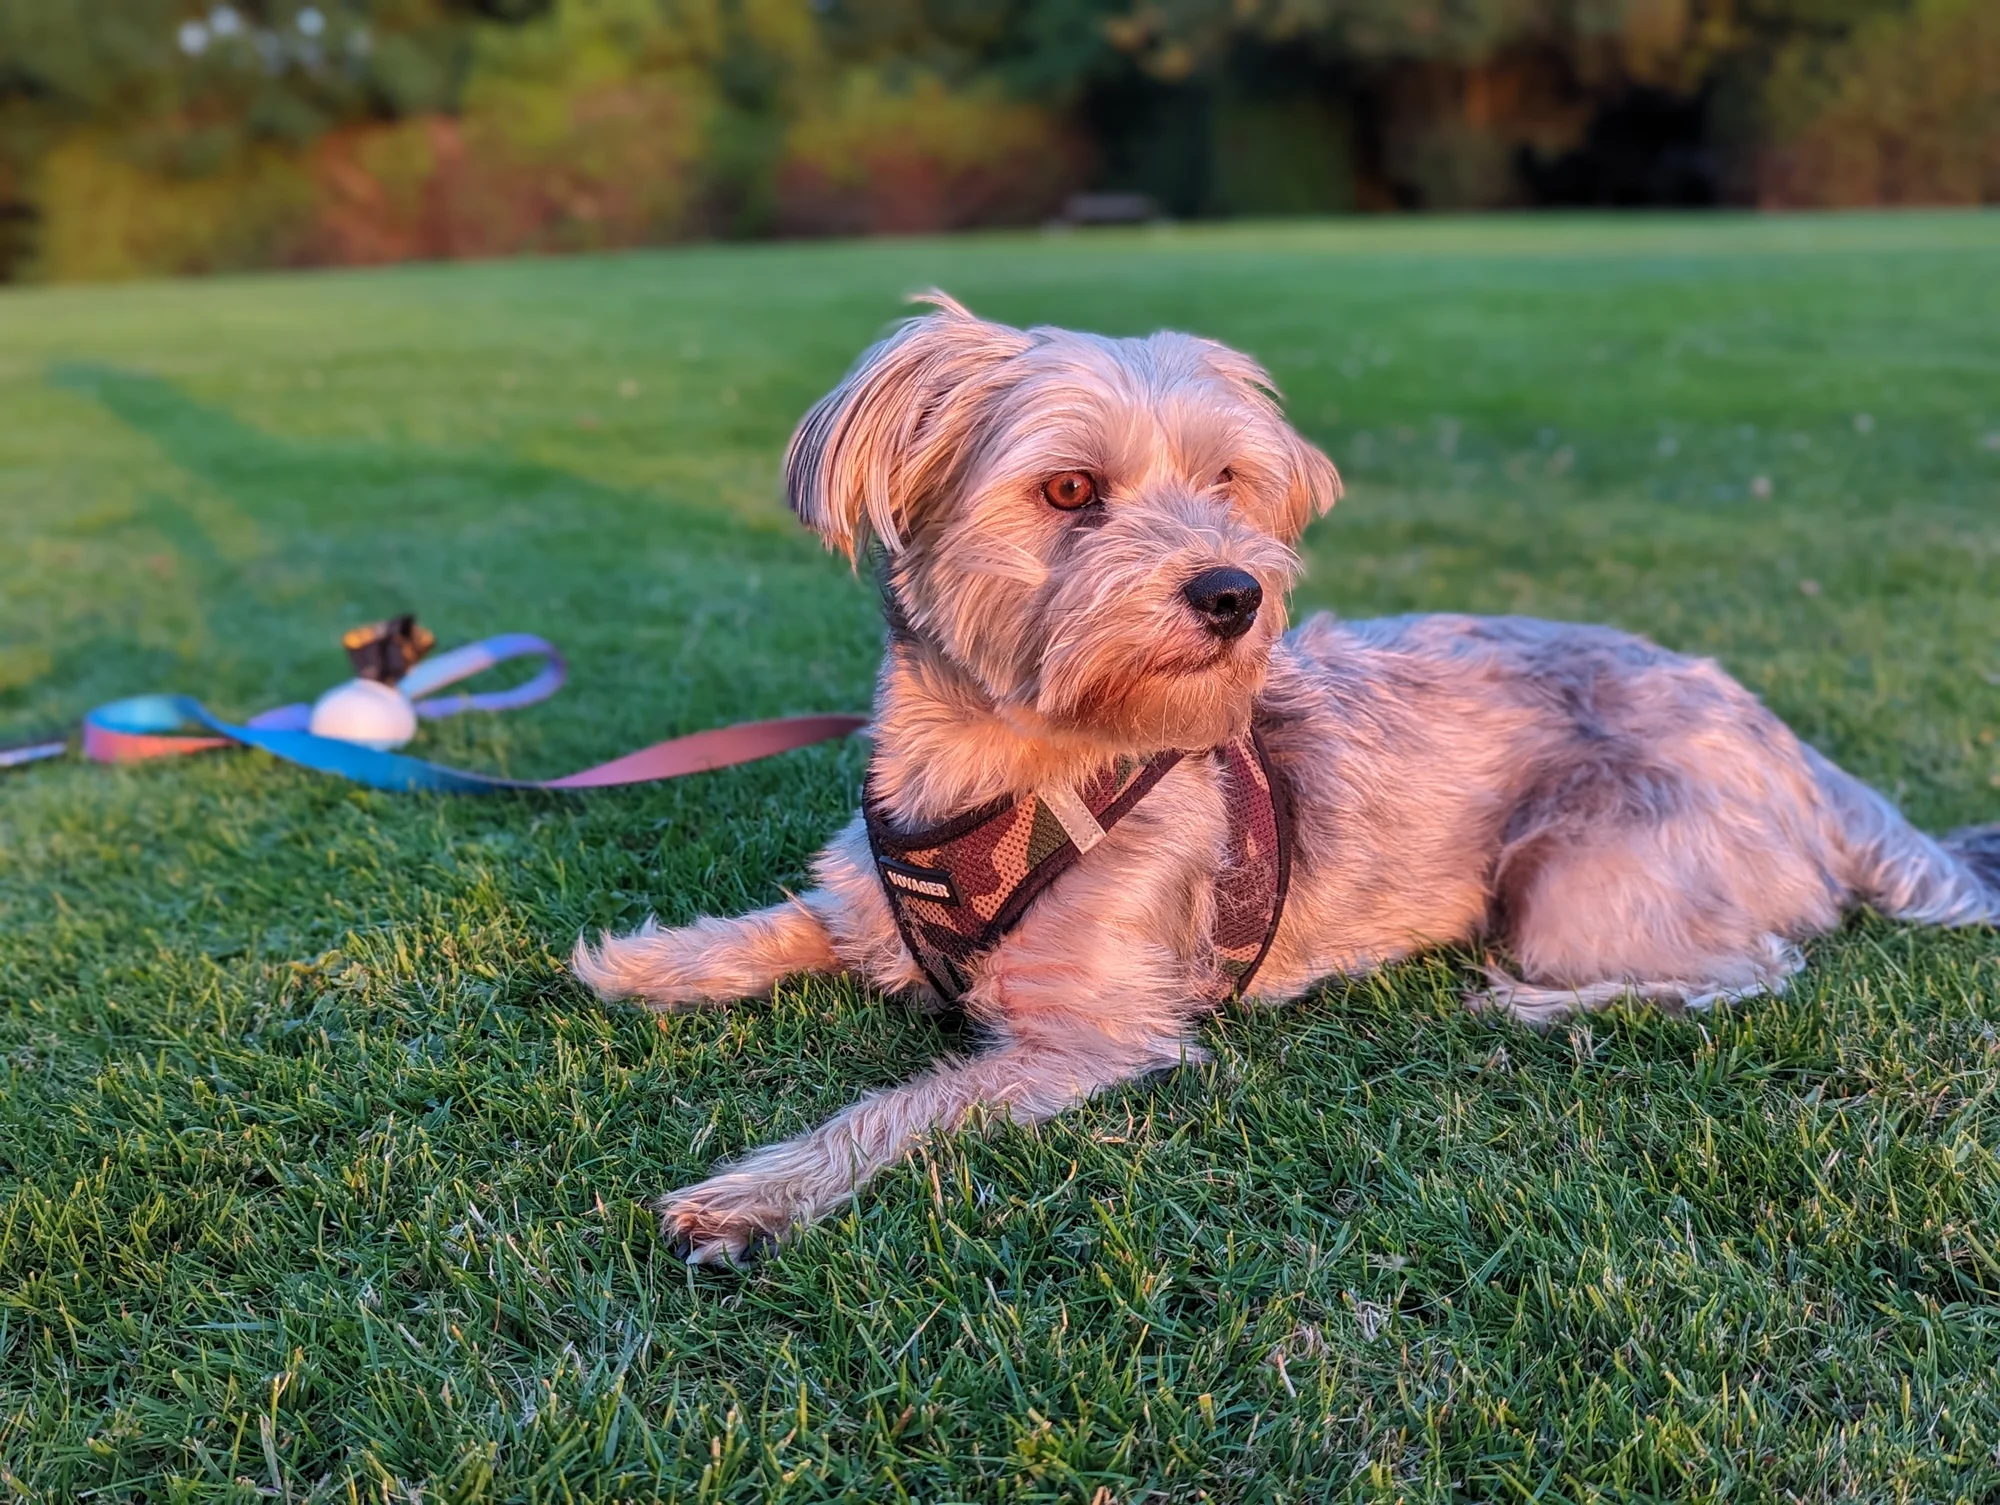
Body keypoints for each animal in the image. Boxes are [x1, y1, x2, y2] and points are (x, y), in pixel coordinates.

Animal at [572, 294, 2000, 1256]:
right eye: (1069, 490)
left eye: (1226, 481)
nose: (1231, 590)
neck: (1023, 757)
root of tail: (1793, 747)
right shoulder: (869, 902)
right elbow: (783, 924)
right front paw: (647, 960)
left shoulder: (1085, 1033)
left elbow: (898, 1111)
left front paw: (754, 1190)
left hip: (1578, 880)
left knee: (1755, 964)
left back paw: (1538, 1006)